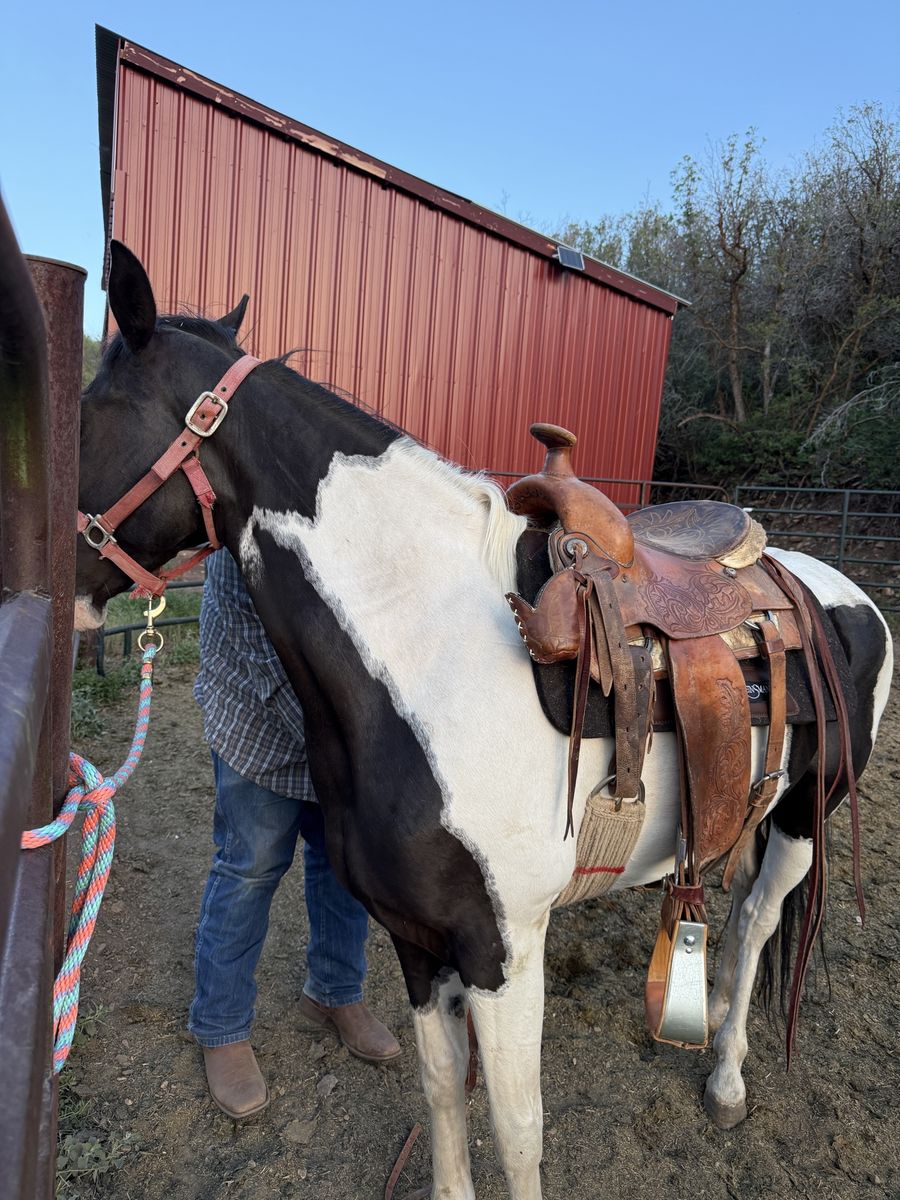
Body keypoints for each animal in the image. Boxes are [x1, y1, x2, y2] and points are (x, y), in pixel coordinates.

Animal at [74, 241, 893, 1200]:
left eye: (87, 416)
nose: (57, 581)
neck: (430, 649)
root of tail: (828, 586)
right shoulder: (416, 940)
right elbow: (440, 1090)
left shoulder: (504, 951)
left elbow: (517, 1128)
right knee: (732, 924)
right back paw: (717, 1002)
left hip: (806, 816)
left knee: (762, 921)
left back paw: (727, 1072)